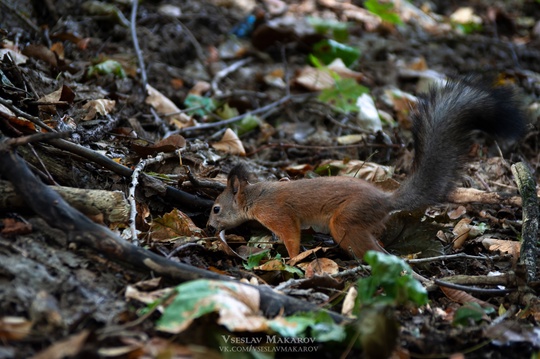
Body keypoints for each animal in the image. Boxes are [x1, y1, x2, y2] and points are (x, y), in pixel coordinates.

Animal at [207, 77, 528, 260]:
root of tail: (385, 201)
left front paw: (293, 259)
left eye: (216, 209)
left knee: (371, 249)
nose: (209, 228)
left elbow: (292, 236)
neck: (254, 196)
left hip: (346, 221)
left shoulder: (278, 214)